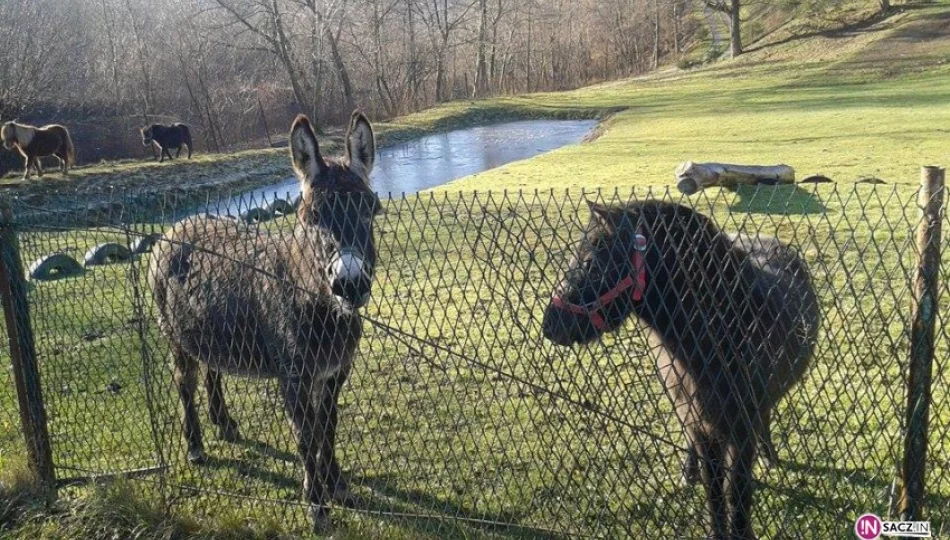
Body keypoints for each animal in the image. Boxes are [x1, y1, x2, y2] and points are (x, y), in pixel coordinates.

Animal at [151, 110, 382, 532]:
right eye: (310, 217)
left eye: (371, 210)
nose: (350, 284)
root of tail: (174, 228)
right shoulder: (292, 376)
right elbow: (306, 435)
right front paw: (317, 504)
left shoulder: (335, 373)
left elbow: (328, 426)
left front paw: (338, 485)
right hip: (175, 336)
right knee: (184, 382)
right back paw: (195, 447)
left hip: (211, 330)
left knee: (212, 371)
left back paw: (224, 424)